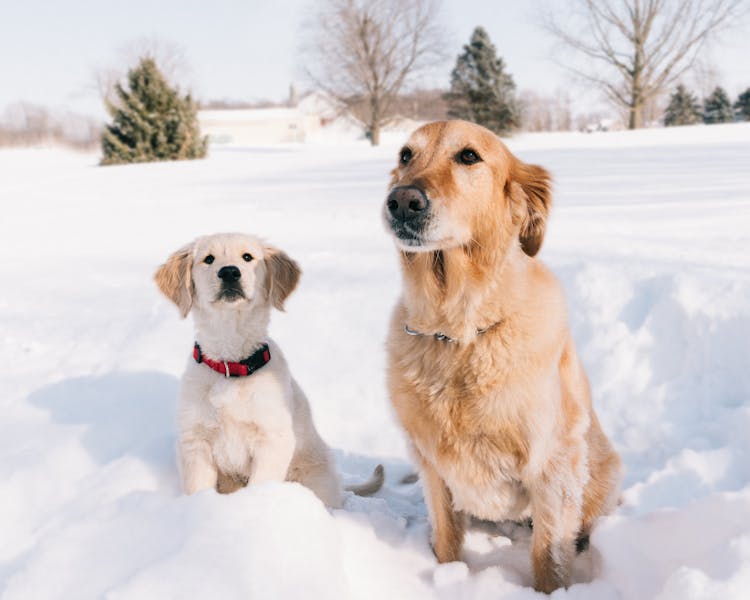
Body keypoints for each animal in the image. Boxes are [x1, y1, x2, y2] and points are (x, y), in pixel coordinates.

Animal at [156, 234, 384, 506]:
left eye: (247, 257)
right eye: (208, 259)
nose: (229, 272)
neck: (232, 364)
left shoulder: (273, 439)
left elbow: (261, 483)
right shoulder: (195, 440)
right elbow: (197, 487)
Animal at [382, 120, 624, 592]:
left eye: (468, 156)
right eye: (405, 155)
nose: (401, 201)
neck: (457, 333)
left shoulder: (552, 464)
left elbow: (548, 558)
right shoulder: (432, 465)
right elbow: (446, 540)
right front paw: (447, 576)